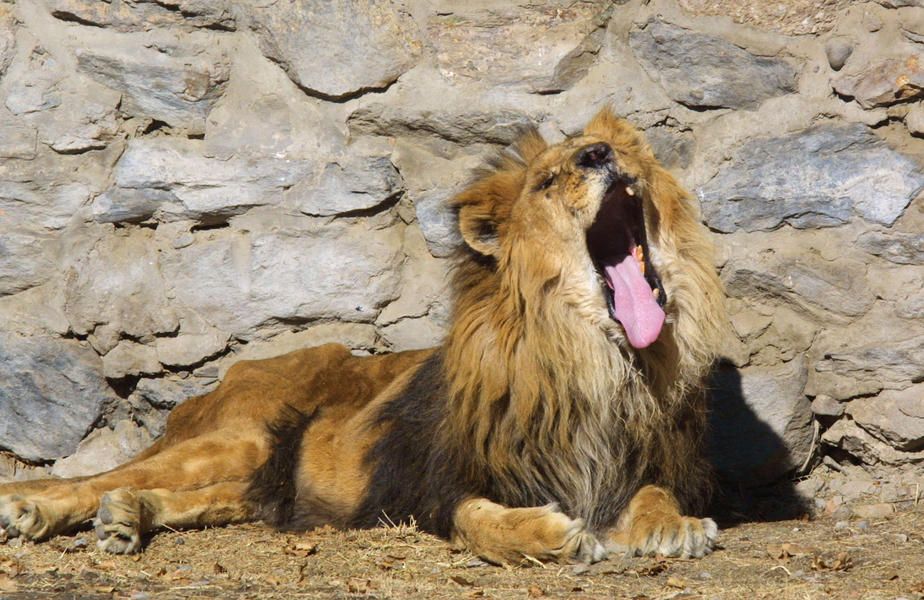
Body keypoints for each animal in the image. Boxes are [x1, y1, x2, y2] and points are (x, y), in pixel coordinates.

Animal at [0, 109, 728, 568]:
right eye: (550, 179)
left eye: (622, 153)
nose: (601, 155)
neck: (600, 362)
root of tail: (233, 372)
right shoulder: (431, 485)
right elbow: (477, 520)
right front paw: (551, 535)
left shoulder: (657, 460)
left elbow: (657, 492)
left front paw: (671, 528)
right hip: (240, 438)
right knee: (100, 477)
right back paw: (31, 509)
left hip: (263, 479)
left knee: (185, 499)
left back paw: (125, 517)